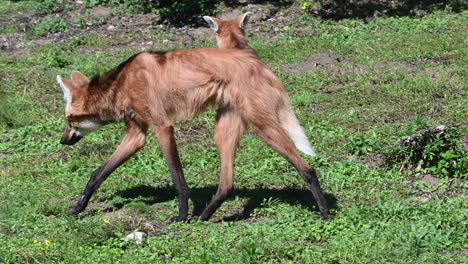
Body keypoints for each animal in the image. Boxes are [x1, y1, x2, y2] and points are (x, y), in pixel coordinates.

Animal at [57, 47, 330, 221]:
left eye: (69, 121)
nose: (63, 140)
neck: (120, 85)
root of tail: (261, 64)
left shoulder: (163, 127)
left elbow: (178, 181)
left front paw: (180, 216)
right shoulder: (137, 135)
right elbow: (97, 174)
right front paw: (78, 206)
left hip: (263, 127)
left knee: (307, 169)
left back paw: (325, 214)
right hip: (224, 130)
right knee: (227, 183)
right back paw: (204, 216)